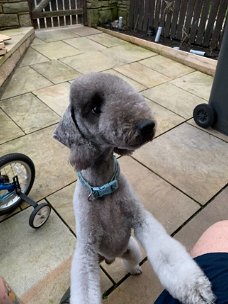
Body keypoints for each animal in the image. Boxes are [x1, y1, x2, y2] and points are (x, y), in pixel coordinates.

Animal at [54, 72, 215, 304]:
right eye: (94, 108)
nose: (147, 125)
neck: (104, 187)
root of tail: (109, 258)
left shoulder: (141, 220)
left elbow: (168, 256)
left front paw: (196, 288)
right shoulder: (86, 250)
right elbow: (84, 289)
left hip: (131, 248)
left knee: (130, 260)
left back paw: (134, 269)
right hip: (97, 256)